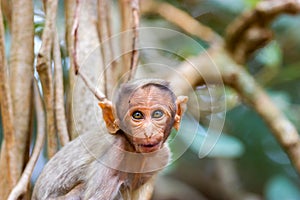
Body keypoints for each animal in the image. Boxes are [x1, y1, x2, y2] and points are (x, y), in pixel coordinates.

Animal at [32, 79, 188, 199]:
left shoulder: (162, 156)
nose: (148, 132)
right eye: (137, 115)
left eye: (157, 114)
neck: (132, 149)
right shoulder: (115, 152)